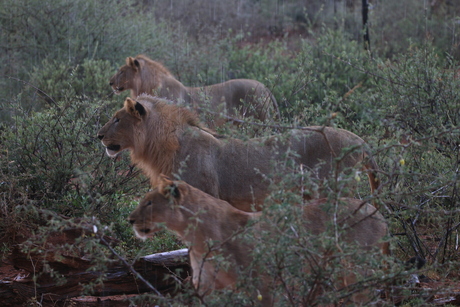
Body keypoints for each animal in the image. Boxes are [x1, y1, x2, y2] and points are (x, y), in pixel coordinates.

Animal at [128, 177, 388, 306]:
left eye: (149, 203)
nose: (130, 219)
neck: (196, 236)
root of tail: (377, 211)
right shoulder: (207, 286)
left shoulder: (262, 283)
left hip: (359, 269)